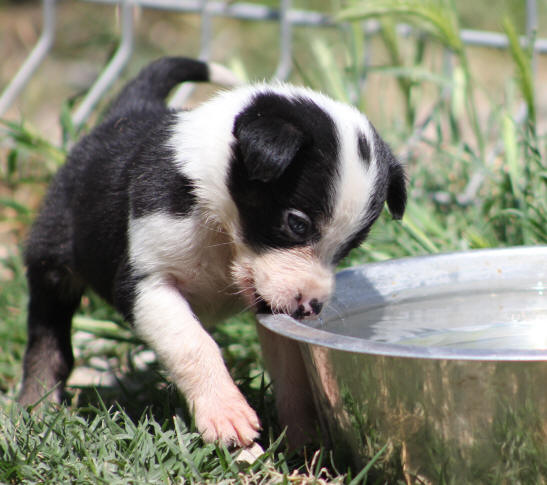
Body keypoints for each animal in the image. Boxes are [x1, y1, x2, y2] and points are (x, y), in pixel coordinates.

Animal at [18, 58, 406, 448]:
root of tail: (128, 111)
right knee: (48, 337)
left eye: (350, 246)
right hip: (53, 253)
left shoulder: (268, 301)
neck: (221, 227)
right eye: (297, 224)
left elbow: (291, 367)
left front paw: (305, 437)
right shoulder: (147, 284)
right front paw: (225, 413)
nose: (310, 308)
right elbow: (193, 344)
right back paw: (36, 406)